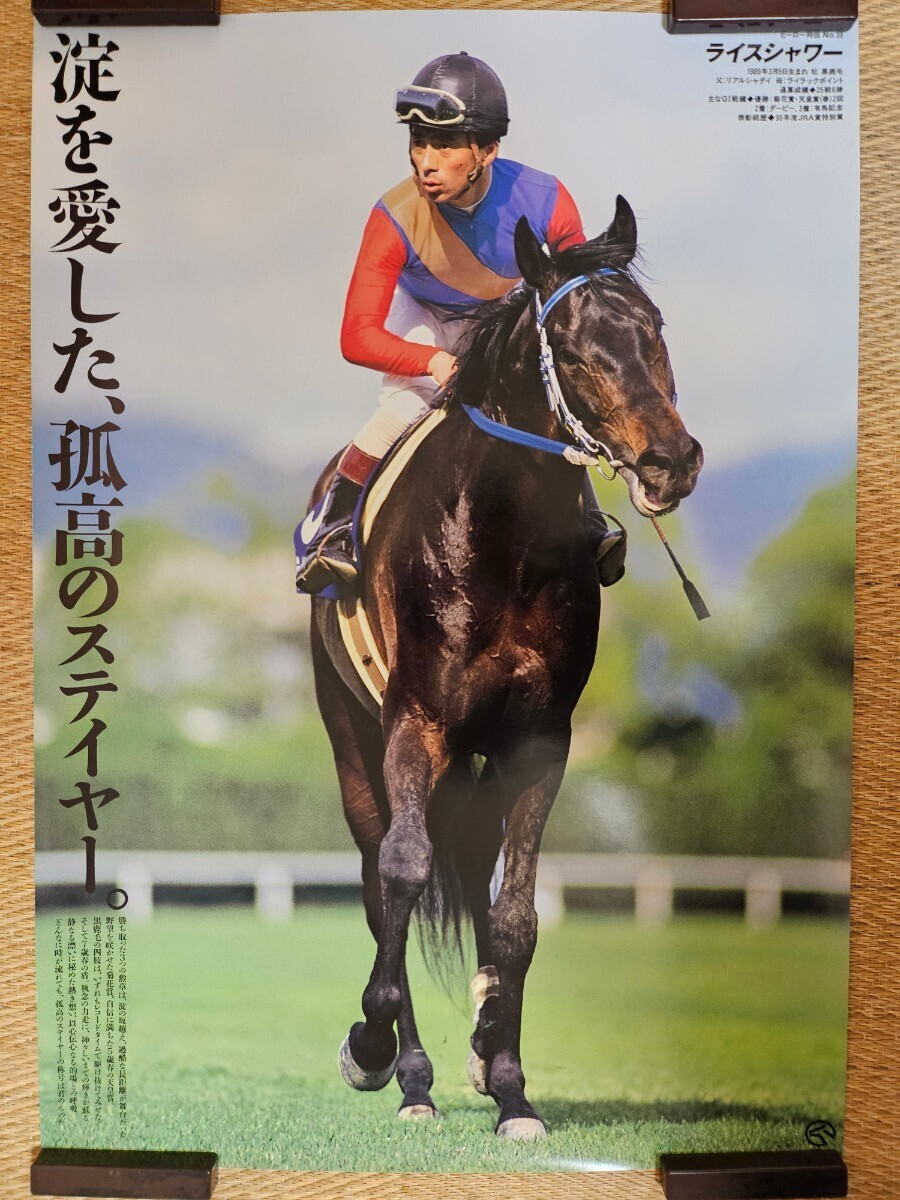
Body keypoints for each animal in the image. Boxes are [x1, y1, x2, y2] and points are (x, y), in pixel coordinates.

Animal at [308, 196, 703, 1140]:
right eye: (574, 349)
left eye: (654, 332)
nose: (672, 461)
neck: (503, 542)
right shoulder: (417, 722)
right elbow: (405, 871)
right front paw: (372, 1045)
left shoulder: (538, 739)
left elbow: (515, 915)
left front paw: (511, 1083)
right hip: (353, 737)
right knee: (382, 877)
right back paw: (409, 1077)